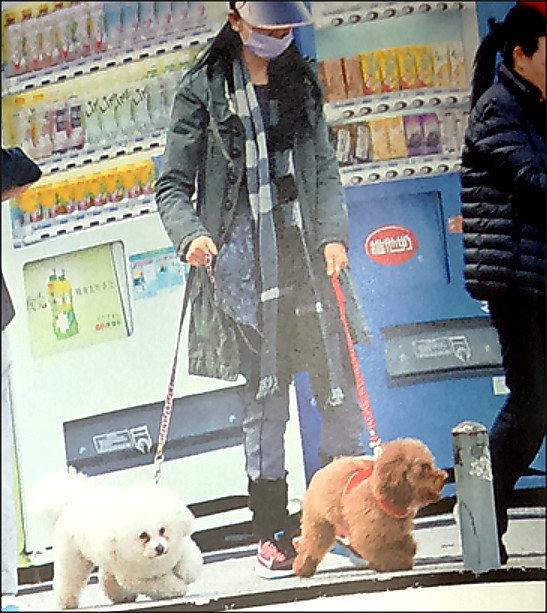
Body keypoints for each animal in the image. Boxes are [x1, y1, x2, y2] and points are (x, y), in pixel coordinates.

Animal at [31, 468, 203, 609]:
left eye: (162, 530)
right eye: (143, 536)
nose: (160, 548)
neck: (150, 558)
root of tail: (73, 501)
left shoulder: (180, 546)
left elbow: (189, 565)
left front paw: (186, 575)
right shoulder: (139, 579)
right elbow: (163, 584)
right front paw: (178, 588)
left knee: (107, 578)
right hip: (73, 558)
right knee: (69, 579)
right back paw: (67, 603)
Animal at [293, 438, 447, 576]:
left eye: (431, 464)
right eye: (423, 468)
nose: (444, 477)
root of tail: (325, 468)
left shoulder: (397, 532)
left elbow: (405, 545)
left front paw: (405, 556)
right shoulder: (369, 535)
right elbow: (382, 551)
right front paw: (394, 564)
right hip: (319, 523)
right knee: (311, 544)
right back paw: (302, 568)